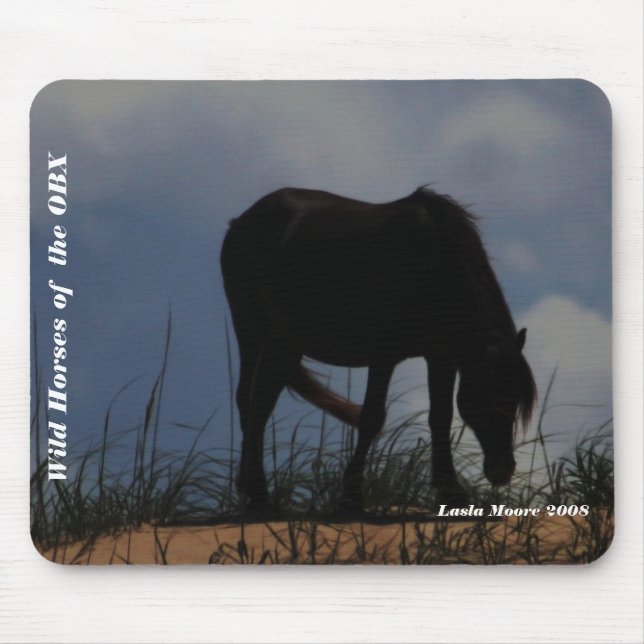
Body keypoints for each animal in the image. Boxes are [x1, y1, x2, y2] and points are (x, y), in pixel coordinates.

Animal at [220, 186, 536, 513]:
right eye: (494, 398)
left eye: (516, 400)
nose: (503, 471)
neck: (432, 264)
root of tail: (240, 223)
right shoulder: (384, 356)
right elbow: (372, 418)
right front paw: (350, 498)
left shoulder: (441, 358)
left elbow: (441, 417)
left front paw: (451, 494)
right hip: (253, 332)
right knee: (249, 402)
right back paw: (258, 497)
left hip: (284, 344)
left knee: (260, 403)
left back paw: (252, 492)